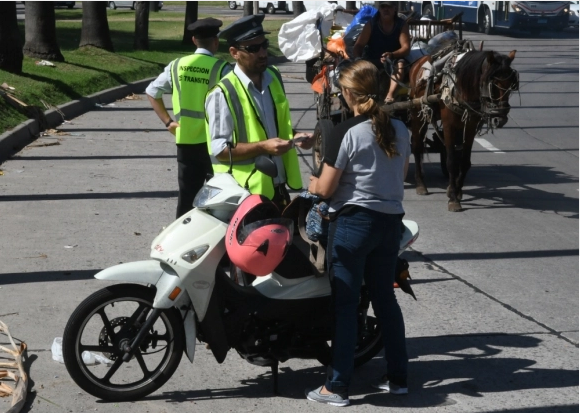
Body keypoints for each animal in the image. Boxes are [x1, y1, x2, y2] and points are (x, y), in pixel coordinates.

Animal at [406, 47, 520, 212]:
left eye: (511, 84)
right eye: (492, 84)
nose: (500, 119)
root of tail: (419, 62)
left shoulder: (471, 125)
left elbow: (465, 162)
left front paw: (456, 191)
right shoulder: (449, 125)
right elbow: (452, 161)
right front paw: (453, 199)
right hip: (417, 112)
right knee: (417, 147)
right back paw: (420, 184)